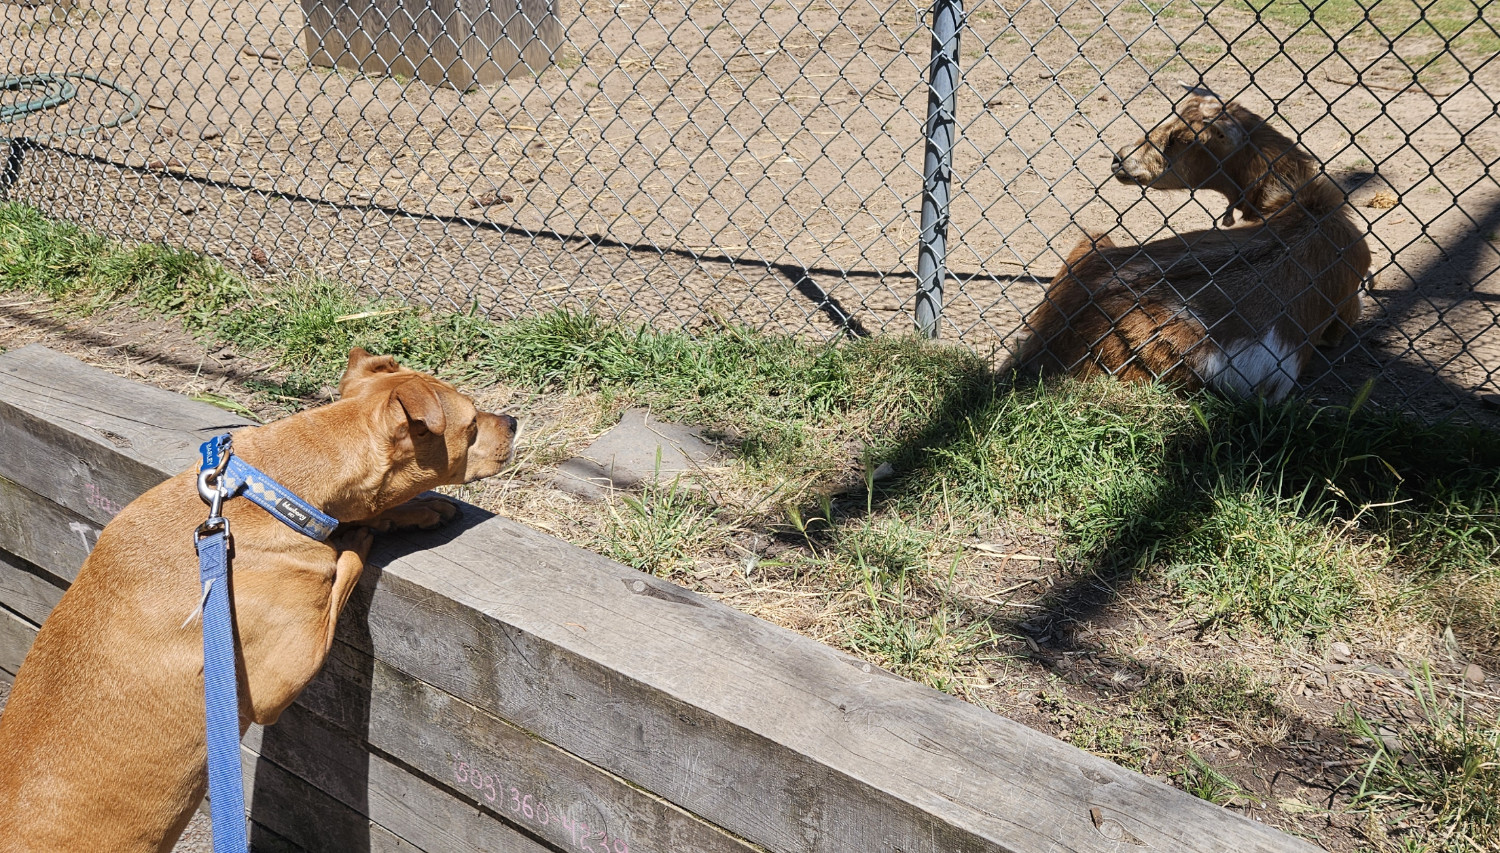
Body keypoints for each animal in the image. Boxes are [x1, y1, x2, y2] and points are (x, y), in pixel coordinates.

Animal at [0, 347, 519, 851]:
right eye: (472, 422)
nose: (513, 420)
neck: (262, 491)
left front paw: (419, 510)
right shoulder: (283, 676)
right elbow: (344, 561)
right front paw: (360, 538)